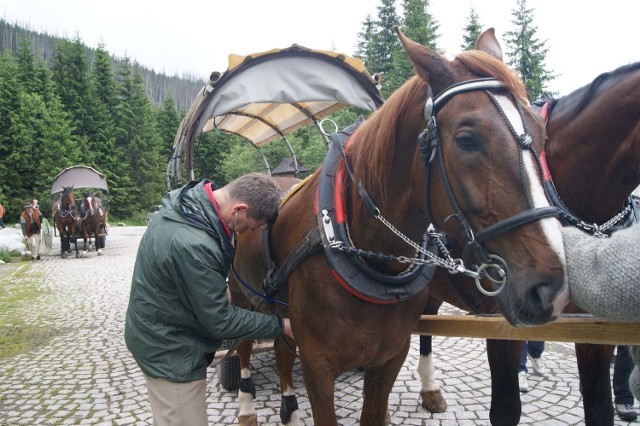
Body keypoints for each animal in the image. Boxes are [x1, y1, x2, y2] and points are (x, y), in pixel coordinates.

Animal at [228, 27, 568, 426]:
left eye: (543, 133)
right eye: (466, 139)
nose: (550, 287)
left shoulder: (388, 360)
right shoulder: (317, 366)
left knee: (282, 353)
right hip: (240, 298)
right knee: (244, 348)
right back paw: (247, 406)